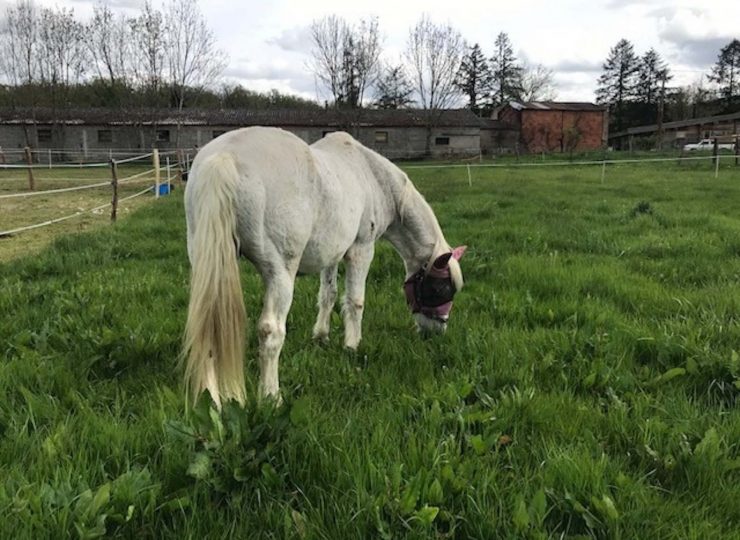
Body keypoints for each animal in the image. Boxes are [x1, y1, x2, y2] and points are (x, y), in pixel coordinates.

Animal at [182, 125, 466, 404]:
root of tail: (224, 157)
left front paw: (321, 336)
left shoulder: (332, 253)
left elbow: (328, 294)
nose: (437, 330)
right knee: (271, 331)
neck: (374, 178)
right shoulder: (362, 249)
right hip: (279, 272)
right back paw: (271, 397)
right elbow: (355, 300)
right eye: (441, 289)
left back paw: (211, 399)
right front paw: (352, 345)